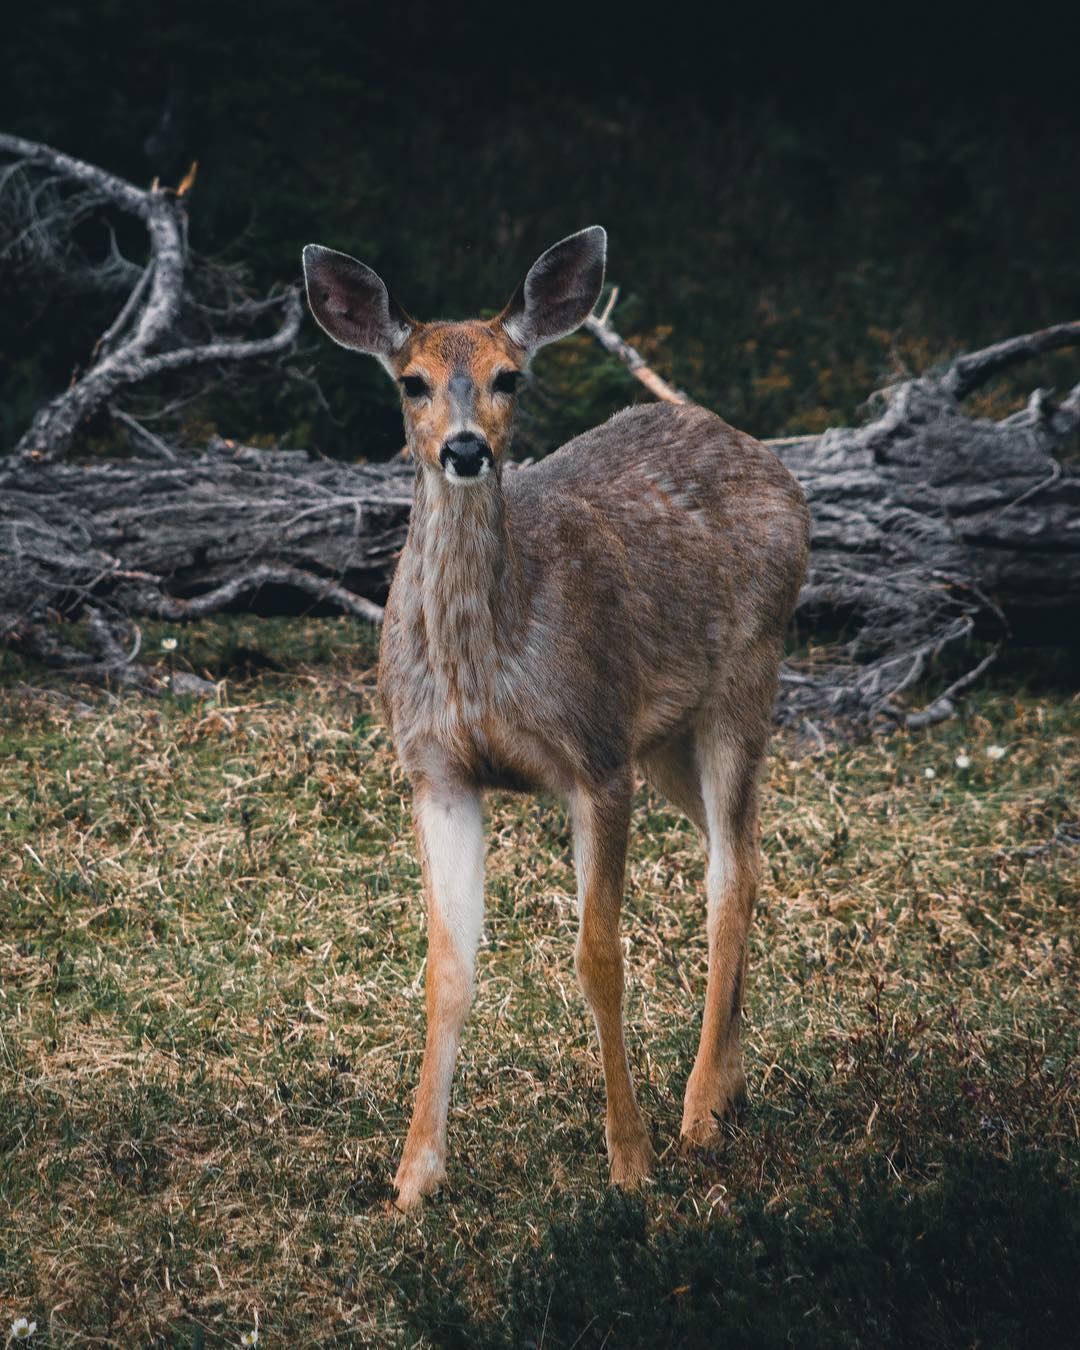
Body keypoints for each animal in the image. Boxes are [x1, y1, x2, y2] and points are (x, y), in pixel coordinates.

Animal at [299, 224, 804, 1215]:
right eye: (410, 380)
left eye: (510, 377)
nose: (464, 449)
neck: (485, 662)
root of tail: (766, 458)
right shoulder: (435, 773)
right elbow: (447, 968)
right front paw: (412, 1177)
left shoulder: (595, 755)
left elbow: (598, 957)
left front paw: (630, 1162)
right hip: (666, 736)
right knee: (747, 853)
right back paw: (728, 1086)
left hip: (745, 671)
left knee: (730, 873)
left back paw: (697, 1113)